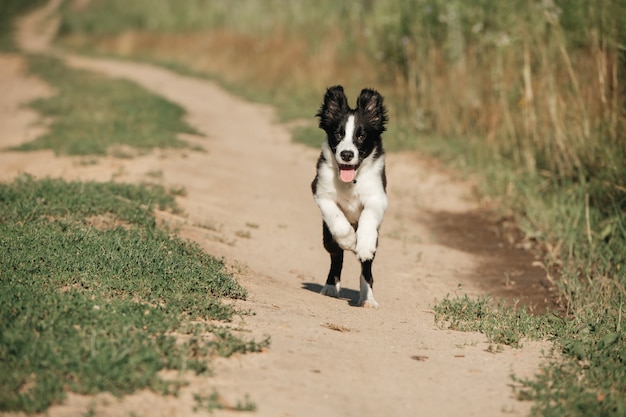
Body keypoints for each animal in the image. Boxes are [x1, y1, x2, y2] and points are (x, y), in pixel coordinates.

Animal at [310, 85, 386, 306]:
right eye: (337, 133)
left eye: (361, 136)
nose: (346, 154)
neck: (350, 181)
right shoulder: (320, 191)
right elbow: (337, 220)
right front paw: (350, 240)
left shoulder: (378, 197)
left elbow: (368, 216)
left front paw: (363, 243)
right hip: (326, 237)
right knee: (336, 256)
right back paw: (330, 286)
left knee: (366, 268)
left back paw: (367, 298)